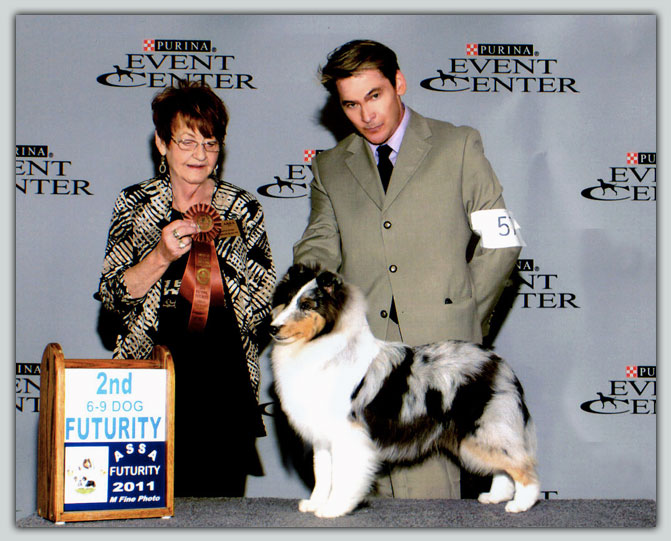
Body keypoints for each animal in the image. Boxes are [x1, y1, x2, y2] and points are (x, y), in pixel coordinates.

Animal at [270, 264, 540, 516]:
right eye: (287, 301)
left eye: (307, 305)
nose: (273, 328)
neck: (323, 346)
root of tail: (500, 364)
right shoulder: (323, 437)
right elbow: (323, 474)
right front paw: (315, 504)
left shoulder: (348, 434)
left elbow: (342, 477)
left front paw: (334, 509)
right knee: (504, 467)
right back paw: (495, 497)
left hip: (485, 429)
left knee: (522, 465)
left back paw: (521, 504)